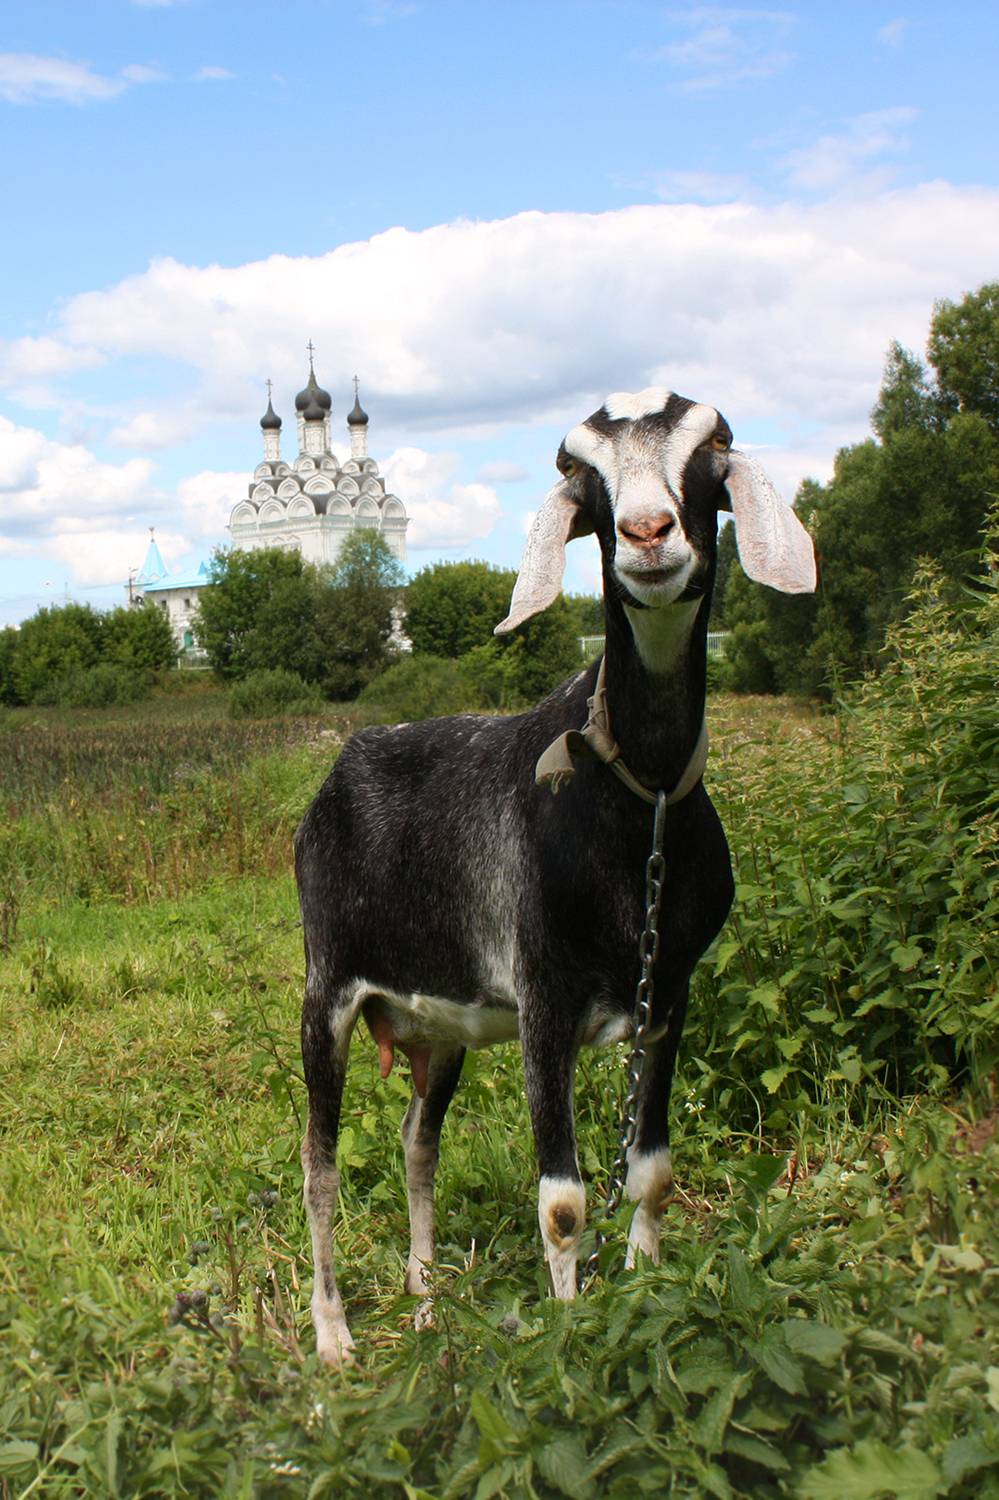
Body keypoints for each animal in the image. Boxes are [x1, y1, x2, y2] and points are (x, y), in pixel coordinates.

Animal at [295, 386, 816, 1365]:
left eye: (710, 450)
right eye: (582, 473)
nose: (648, 534)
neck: (639, 801)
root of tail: (334, 779)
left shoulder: (668, 996)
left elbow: (651, 1174)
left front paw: (643, 1294)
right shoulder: (544, 1000)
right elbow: (565, 1205)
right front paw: (572, 1342)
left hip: (439, 1027)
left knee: (417, 1142)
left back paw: (425, 1298)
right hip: (328, 989)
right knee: (319, 1164)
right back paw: (335, 1336)